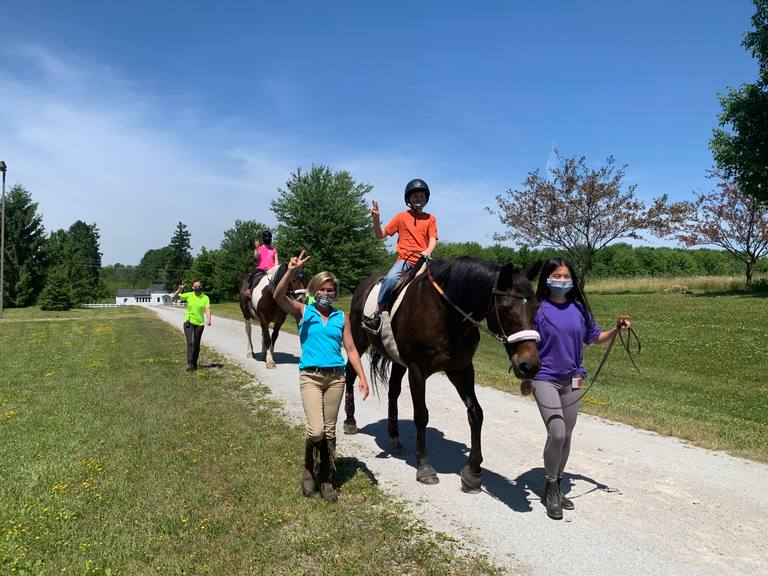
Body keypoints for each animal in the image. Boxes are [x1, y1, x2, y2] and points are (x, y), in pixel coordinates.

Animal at [342, 256, 540, 490]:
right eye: (505, 308)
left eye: (537, 307)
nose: (529, 365)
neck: (447, 314)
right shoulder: (417, 370)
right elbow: (421, 415)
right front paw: (424, 466)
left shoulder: (461, 370)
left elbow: (476, 413)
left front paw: (473, 471)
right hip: (357, 340)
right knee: (350, 374)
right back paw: (350, 421)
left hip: (398, 361)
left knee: (393, 392)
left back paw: (394, 438)